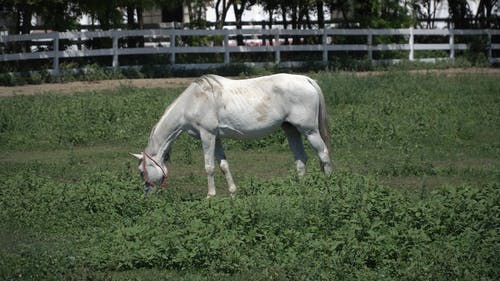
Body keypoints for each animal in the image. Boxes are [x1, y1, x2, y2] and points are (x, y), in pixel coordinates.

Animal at [131, 73, 332, 196]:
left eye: (142, 171)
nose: (147, 194)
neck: (192, 101)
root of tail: (307, 80)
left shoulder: (207, 135)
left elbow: (209, 166)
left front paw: (210, 195)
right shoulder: (217, 137)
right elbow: (223, 166)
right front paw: (233, 192)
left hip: (309, 131)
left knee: (323, 155)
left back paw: (328, 184)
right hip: (291, 130)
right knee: (301, 159)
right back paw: (299, 188)